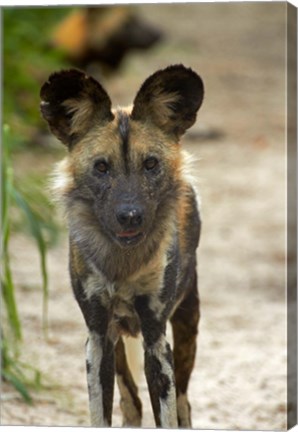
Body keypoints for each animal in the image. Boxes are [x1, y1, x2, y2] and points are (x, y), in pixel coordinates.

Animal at [40, 65, 203, 428]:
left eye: (151, 164)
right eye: (101, 167)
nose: (130, 216)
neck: (122, 265)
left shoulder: (156, 339)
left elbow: (167, 415)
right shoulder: (98, 337)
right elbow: (100, 413)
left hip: (187, 323)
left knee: (183, 402)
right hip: (113, 342)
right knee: (132, 403)